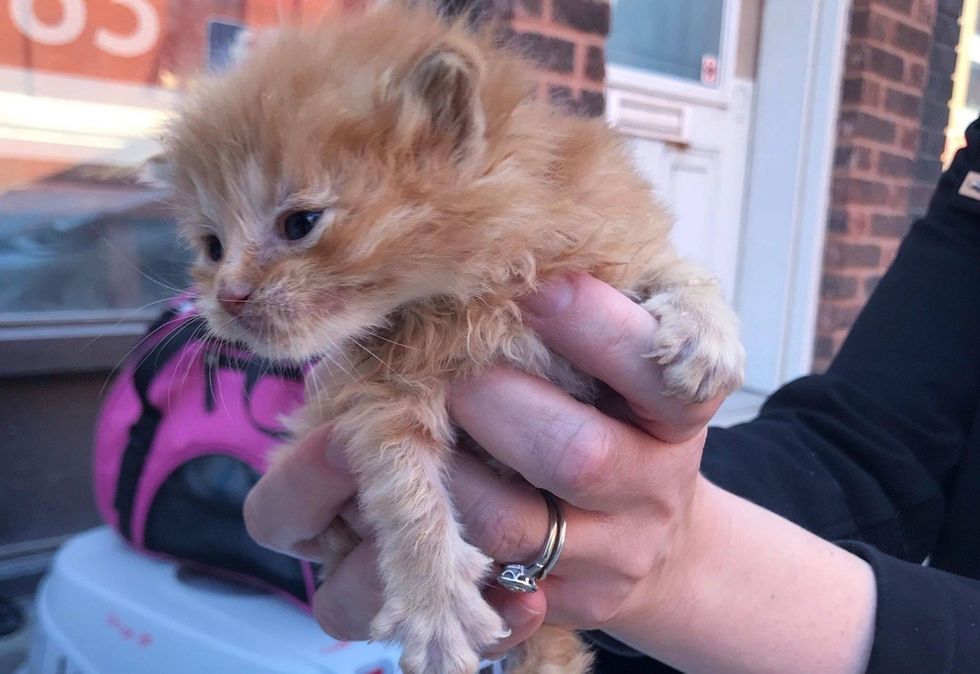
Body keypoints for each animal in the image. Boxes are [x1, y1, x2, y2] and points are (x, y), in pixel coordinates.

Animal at [159, 2, 744, 668]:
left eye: (300, 223)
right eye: (212, 246)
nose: (227, 297)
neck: (471, 284)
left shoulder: (603, 240)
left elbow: (668, 265)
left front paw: (706, 335)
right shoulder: (378, 393)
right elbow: (404, 490)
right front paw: (435, 606)